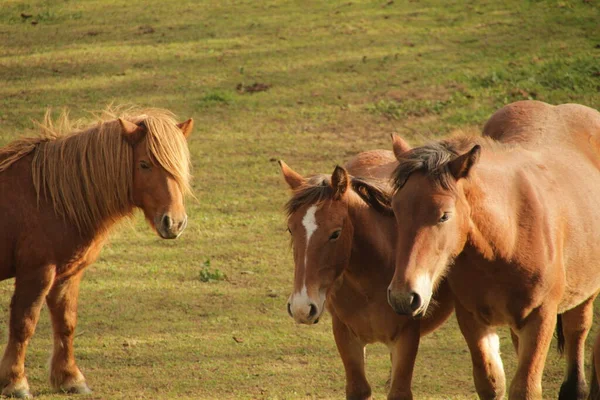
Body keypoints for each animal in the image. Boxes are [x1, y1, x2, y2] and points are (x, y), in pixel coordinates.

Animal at [0, 108, 192, 398]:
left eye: (180, 167)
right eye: (144, 164)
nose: (175, 223)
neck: (48, 198)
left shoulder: (67, 275)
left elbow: (66, 324)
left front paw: (70, 378)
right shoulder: (37, 274)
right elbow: (24, 325)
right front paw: (15, 382)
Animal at [386, 101, 600, 400]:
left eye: (444, 215)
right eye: (395, 210)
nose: (404, 298)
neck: (507, 242)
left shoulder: (541, 317)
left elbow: (525, 387)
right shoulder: (472, 317)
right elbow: (490, 382)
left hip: (584, 295)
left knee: (577, 330)